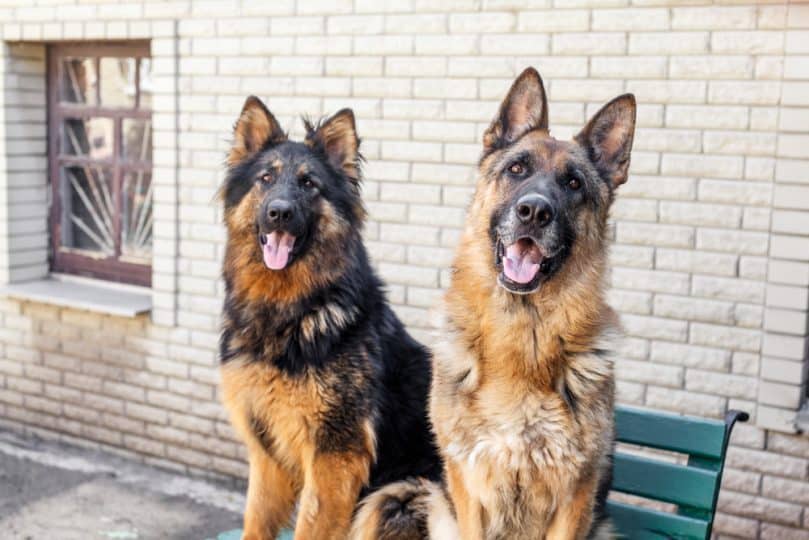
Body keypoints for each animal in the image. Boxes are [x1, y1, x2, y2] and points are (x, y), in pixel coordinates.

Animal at [218, 97, 438, 540]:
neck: (290, 311)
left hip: (394, 497)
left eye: (309, 184)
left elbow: (312, 526)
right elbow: (256, 521)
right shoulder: (268, 453)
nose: (279, 213)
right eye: (266, 178)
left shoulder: (334, 456)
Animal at [350, 68, 636, 540]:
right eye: (517, 169)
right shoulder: (468, 486)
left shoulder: (574, 495)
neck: (521, 335)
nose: (534, 212)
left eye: (573, 183)